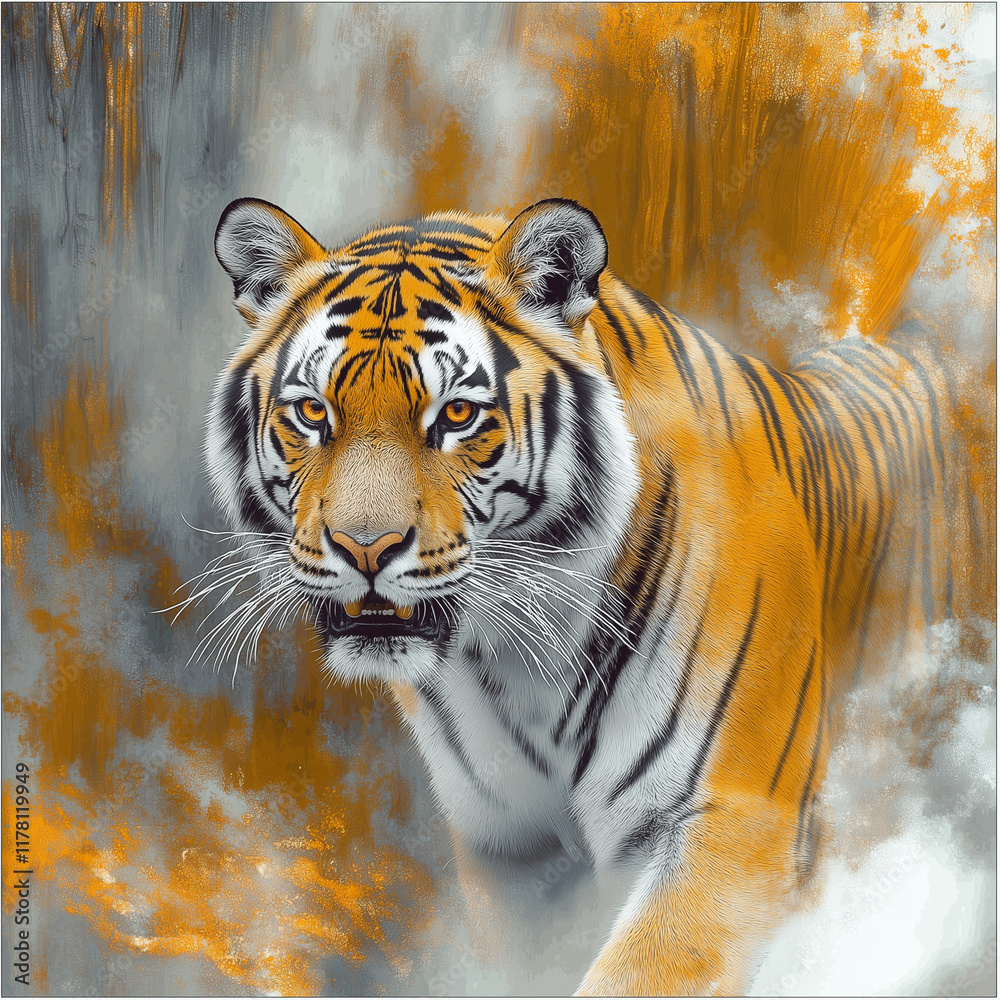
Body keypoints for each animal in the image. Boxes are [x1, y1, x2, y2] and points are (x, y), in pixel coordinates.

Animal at [205, 195, 972, 995]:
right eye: (312, 413)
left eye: (456, 416)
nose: (365, 549)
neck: (520, 651)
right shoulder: (509, 846)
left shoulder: (738, 818)